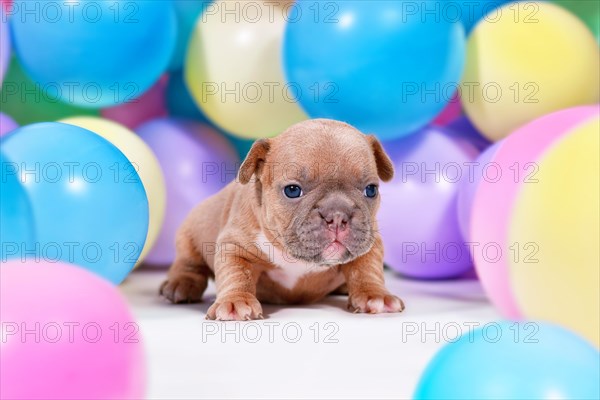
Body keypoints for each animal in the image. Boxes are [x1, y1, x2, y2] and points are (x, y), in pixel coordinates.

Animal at [159, 118, 404, 318]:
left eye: (371, 190)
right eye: (292, 190)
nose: (337, 215)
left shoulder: (370, 241)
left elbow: (367, 269)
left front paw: (375, 295)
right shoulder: (234, 246)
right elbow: (236, 274)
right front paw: (235, 301)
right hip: (190, 234)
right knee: (189, 264)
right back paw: (181, 284)